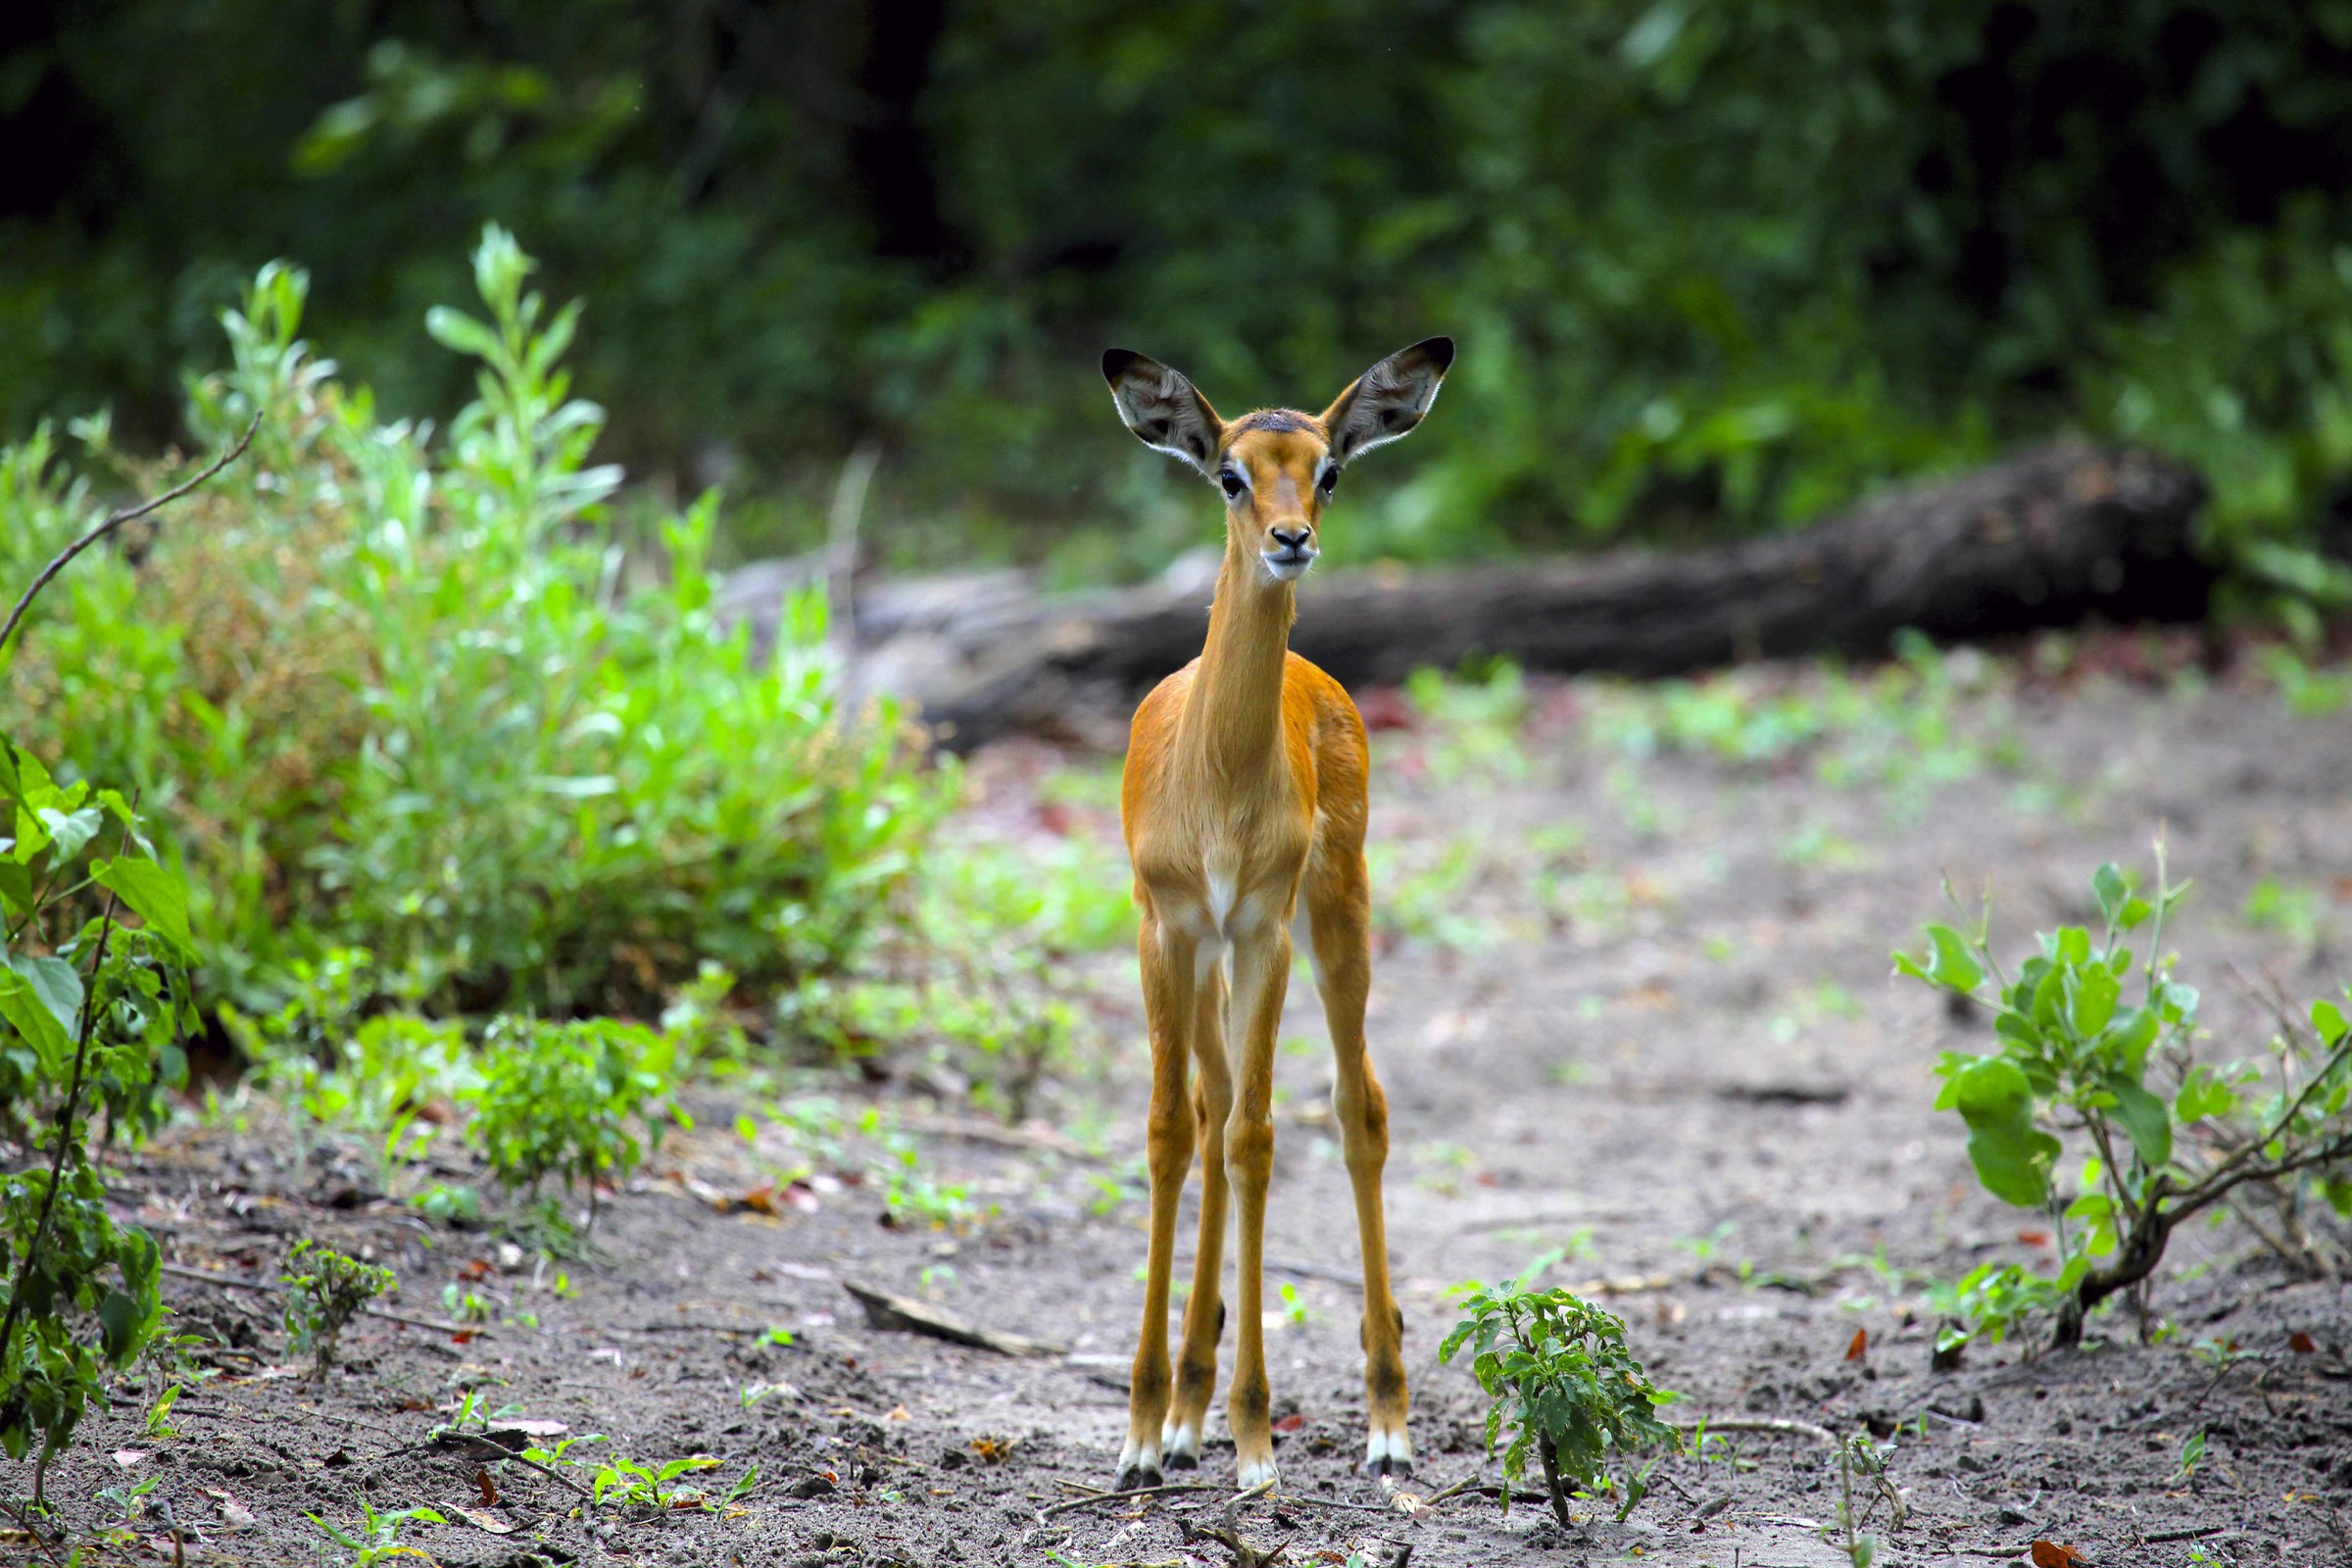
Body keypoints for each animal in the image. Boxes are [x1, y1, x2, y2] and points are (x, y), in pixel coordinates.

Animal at [1099, 337, 1454, 1492]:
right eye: (1230, 474)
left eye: (1327, 470)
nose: (1291, 538)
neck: (1214, 778)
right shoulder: (1167, 929)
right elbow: (1174, 1132)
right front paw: (1142, 1432)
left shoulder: (1259, 929)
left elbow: (1257, 1140)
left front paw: (1256, 1438)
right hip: (1211, 956)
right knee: (1210, 1116)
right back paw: (1185, 1408)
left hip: (1336, 917)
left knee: (1357, 1108)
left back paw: (1385, 1418)